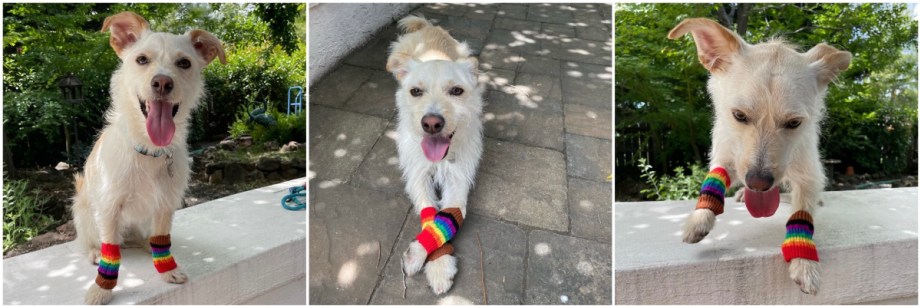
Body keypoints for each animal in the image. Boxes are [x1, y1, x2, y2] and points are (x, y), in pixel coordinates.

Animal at [70, 11, 225, 304]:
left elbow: (162, 238)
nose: (162, 82)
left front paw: (167, 270)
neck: (149, 150)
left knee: (148, 237)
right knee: (92, 242)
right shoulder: (109, 207)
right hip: (84, 212)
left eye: (184, 63)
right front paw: (102, 288)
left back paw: (145, 244)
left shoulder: (165, 204)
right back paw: (94, 251)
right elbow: (110, 252)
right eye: (142, 59)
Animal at [384, 15, 486, 296]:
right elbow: (430, 214)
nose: (431, 123)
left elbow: (447, 216)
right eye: (416, 91)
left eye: (457, 91)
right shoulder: (417, 175)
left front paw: (438, 266)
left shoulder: (459, 178)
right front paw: (426, 259)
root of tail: (428, 26)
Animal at [668, 18, 848, 294]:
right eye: (739, 116)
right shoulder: (727, 154)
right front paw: (699, 219)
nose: (759, 184)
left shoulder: (808, 172)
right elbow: (716, 175)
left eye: (794, 123)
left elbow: (802, 210)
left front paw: (803, 260)